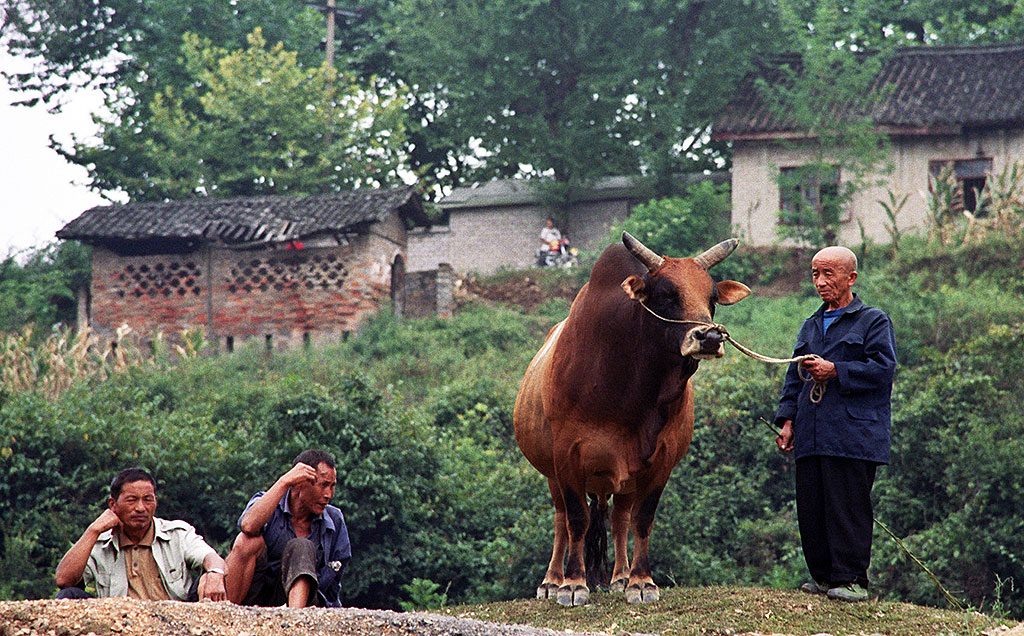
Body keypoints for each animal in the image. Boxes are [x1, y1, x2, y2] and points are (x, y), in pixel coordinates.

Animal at [516, 233, 749, 606]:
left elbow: (642, 519)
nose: (710, 338)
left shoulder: (661, 460)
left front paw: (641, 581)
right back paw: (552, 580)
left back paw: (621, 576)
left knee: (620, 517)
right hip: (552, 473)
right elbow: (577, 519)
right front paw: (573, 584)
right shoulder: (567, 456)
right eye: (666, 294)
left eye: (712, 297)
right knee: (561, 518)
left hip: (623, 480)